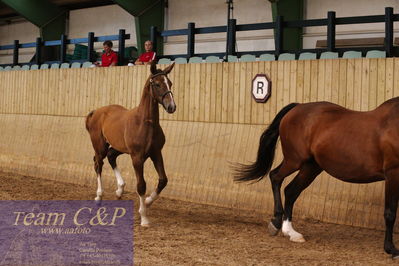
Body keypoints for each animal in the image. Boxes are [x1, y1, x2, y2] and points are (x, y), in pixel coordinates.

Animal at [85, 61, 176, 227]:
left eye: (170, 83)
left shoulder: (156, 153)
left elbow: (163, 180)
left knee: (111, 156)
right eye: (157, 84)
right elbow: (141, 185)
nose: (171, 107)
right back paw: (99, 196)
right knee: (98, 164)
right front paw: (144, 217)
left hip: (118, 147)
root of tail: (95, 112)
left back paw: (120, 190)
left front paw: (148, 201)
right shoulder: (137, 157)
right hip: (99, 146)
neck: (145, 123)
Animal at [234, 97, 399, 258]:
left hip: (311, 167)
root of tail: (297, 107)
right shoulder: (392, 173)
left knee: (291, 191)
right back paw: (276, 223)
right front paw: (391, 249)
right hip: (295, 160)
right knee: (275, 177)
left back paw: (291, 233)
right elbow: (390, 213)